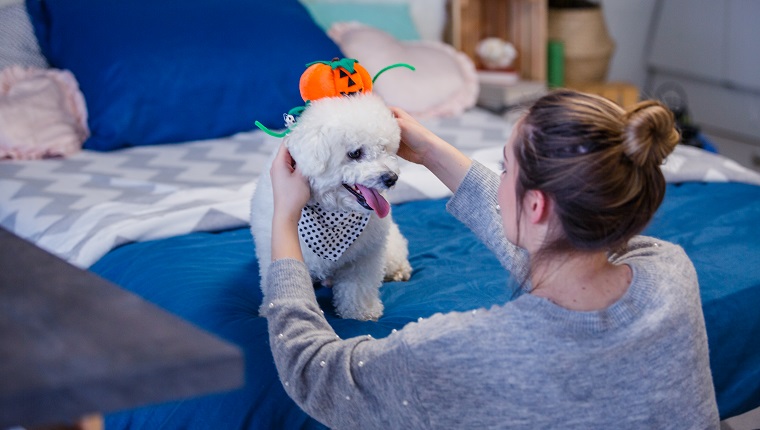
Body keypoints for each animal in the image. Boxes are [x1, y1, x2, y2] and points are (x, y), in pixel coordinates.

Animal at [251, 95, 412, 322]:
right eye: (355, 153)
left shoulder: (364, 256)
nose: (391, 178)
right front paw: (269, 309)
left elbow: (358, 287)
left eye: (383, 148)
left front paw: (361, 311)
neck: (332, 212)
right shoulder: (269, 249)